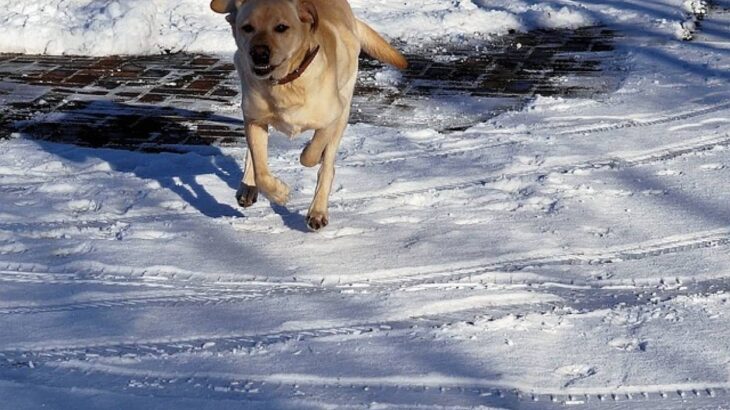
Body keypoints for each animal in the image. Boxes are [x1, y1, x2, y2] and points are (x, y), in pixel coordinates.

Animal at [210, 0, 406, 229]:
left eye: (281, 27)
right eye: (247, 27)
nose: (259, 53)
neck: (285, 83)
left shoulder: (332, 117)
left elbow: (312, 154)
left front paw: (307, 153)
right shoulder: (255, 119)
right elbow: (261, 170)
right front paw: (280, 193)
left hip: (344, 108)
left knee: (328, 166)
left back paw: (317, 211)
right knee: (254, 155)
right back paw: (247, 187)